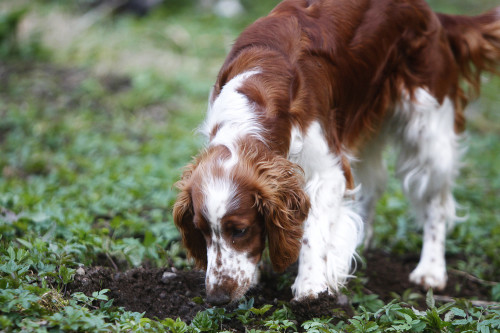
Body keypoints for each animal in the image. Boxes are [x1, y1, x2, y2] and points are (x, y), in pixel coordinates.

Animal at [173, 0, 500, 304]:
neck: (258, 95)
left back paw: (430, 270)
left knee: (436, 203)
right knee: (374, 183)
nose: (217, 298)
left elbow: (312, 231)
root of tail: (432, 14)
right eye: (201, 231)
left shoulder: (326, 169)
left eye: (239, 230)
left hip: (428, 131)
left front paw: (311, 287)